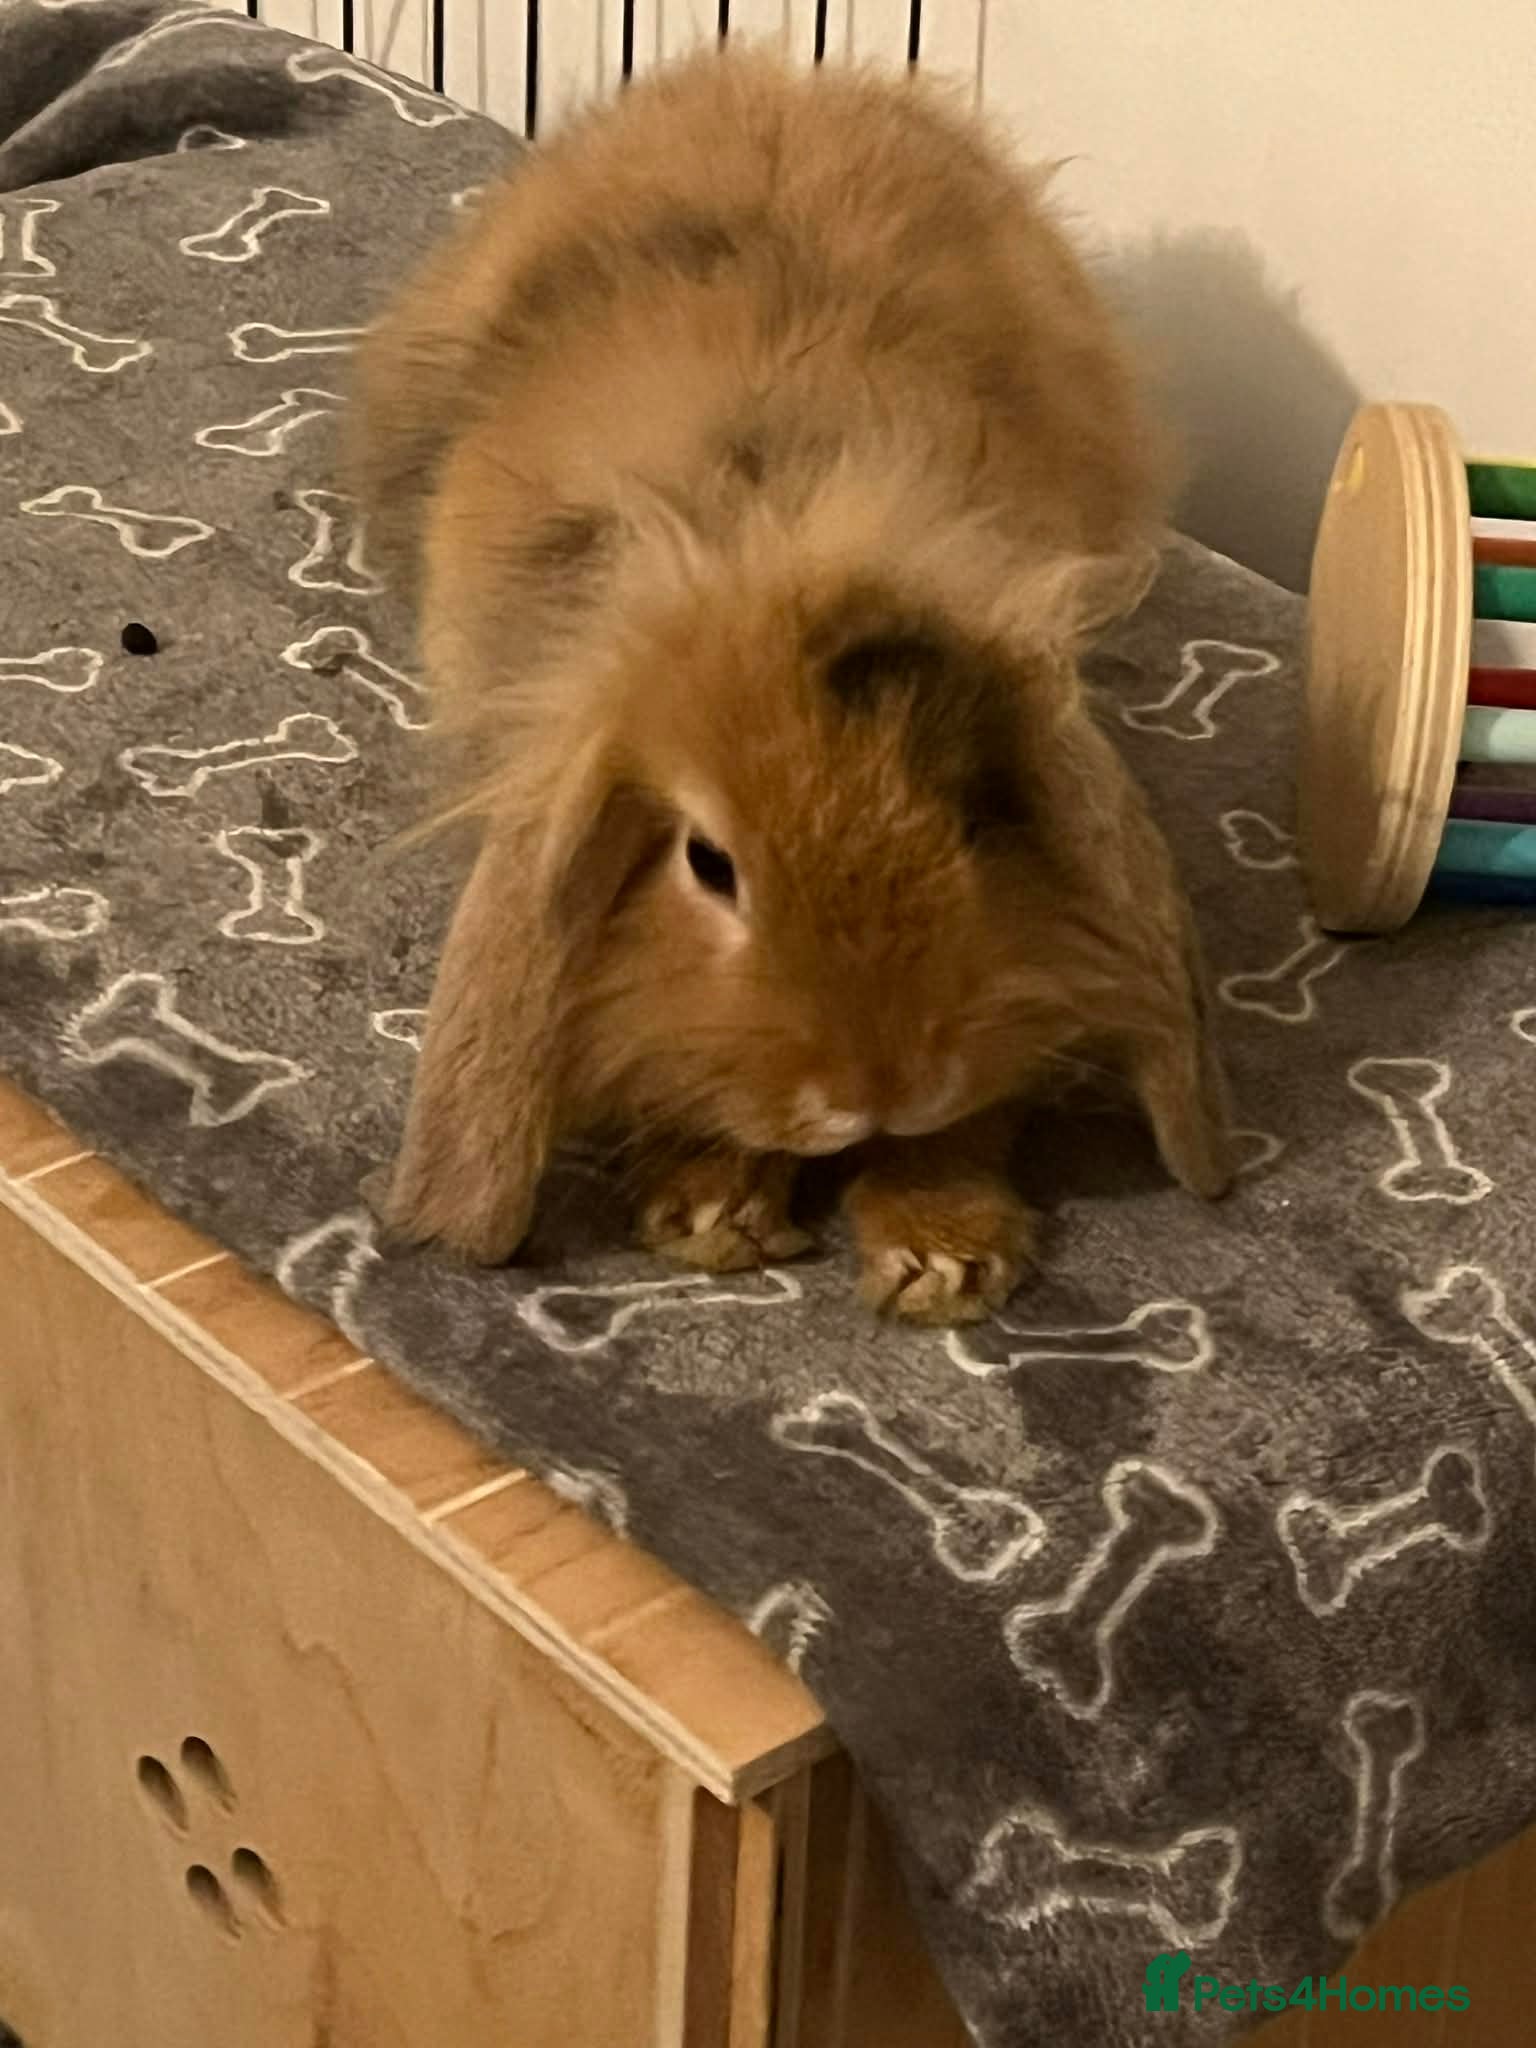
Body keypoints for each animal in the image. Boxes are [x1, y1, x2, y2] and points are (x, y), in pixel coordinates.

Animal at [350, 44, 1233, 1325]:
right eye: (708, 864)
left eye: (978, 821)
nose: (880, 1085)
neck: (777, 530)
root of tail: (780, 76)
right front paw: (709, 1211)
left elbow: (979, 1117)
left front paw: (942, 1257)